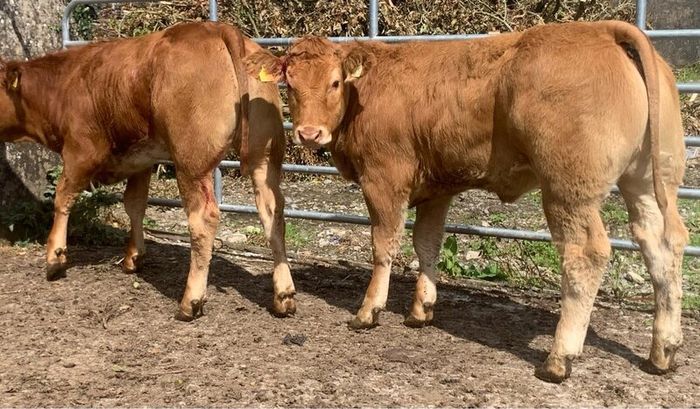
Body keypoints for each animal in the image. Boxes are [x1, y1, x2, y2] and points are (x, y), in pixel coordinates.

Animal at [0, 22, 297, 321]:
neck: (63, 83)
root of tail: (217, 27)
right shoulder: (140, 161)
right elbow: (134, 205)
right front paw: (133, 256)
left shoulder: (80, 151)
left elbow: (63, 197)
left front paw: (55, 258)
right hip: (265, 159)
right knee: (273, 212)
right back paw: (283, 296)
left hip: (191, 164)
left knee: (203, 219)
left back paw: (190, 301)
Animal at [244, 20, 689, 382]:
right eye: (289, 84)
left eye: (335, 83)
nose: (309, 133)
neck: (365, 93)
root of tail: (604, 30)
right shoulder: (436, 189)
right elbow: (426, 244)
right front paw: (420, 310)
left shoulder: (384, 179)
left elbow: (384, 245)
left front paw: (368, 311)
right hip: (649, 180)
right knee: (662, 244)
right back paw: (662, 351)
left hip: (568, 190)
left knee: (586, 254)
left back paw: (559, 359)